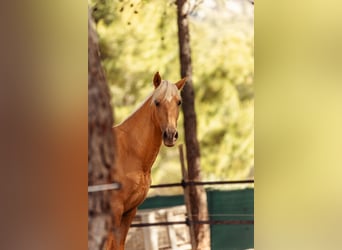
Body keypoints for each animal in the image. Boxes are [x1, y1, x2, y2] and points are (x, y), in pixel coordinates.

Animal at [107, 72, 187, 250]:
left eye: (178, 102)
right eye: (157, 102)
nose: (170, 135)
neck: (129, 150)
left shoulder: (129, 212)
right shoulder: (114, 212)